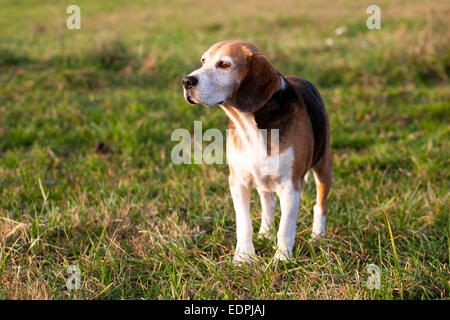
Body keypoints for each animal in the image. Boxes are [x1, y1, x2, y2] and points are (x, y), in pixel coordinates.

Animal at [181, 40, 332, 262]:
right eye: (203, 61)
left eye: (224, 64)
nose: (186, 81)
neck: (249, 125)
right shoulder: (238, 182)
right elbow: (244, 224)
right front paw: (244, 257)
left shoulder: (291, 187)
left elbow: (285, 228)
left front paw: (281, 259)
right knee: (268, 203)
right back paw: (265, 234)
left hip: (323, 166)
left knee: (320, 205)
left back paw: (317, 237)